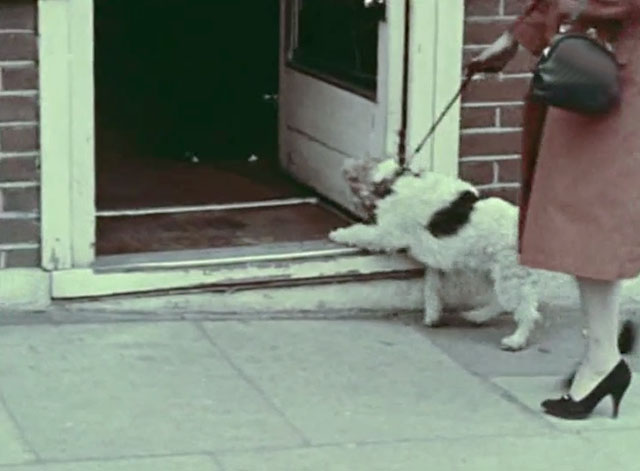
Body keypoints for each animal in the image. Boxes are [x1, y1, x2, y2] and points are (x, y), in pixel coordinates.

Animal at [332, 159, 548, 350]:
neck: (396, 181)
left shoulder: (388, 234)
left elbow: (362, 233)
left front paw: (338, 233)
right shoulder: (436, 260)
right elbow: (431, 287)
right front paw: (432, 315)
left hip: (509, 275)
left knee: (525, 311)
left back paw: (515, 340)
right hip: (494, 272)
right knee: (502, 301)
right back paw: (477, 316)